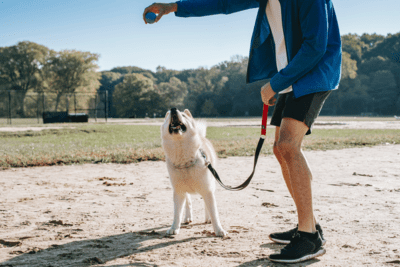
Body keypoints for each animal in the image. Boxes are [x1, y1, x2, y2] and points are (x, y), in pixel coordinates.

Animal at [160, 108, 227, 238]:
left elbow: (214, 212)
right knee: (188, 203)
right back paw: (187, 217)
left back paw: (207, 219)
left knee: (206, 205)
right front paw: (174, 228)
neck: (185, 163)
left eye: (183, 115)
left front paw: (219, 230)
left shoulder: (207, 190)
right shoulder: (179, 192)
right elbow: (177, 213)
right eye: (168, 115)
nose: (173, 109)